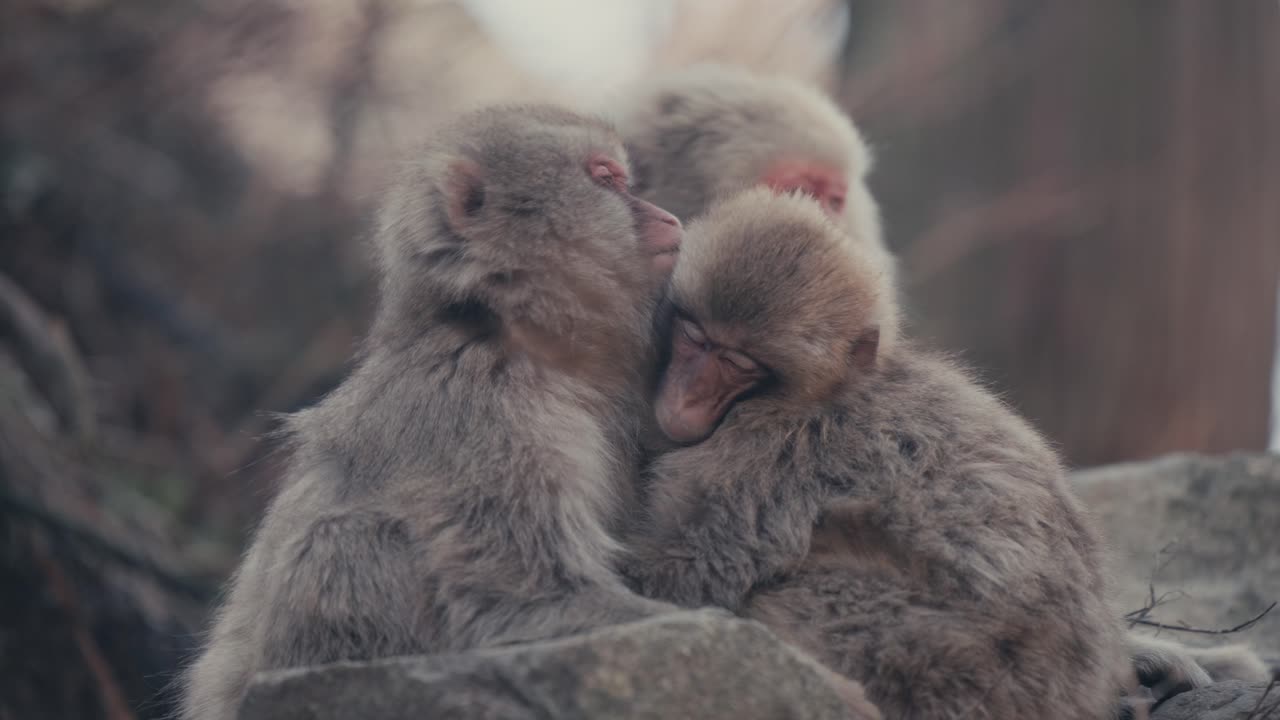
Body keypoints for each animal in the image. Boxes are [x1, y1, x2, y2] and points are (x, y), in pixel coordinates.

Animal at [179, 104, 686, 720]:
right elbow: (524, 598)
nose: (668, 215)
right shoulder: (479, 412)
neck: (508, 334)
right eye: (606, 179)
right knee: (347, 541)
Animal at [621, 187, 1139, 719]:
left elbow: (698, 569)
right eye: (694, 335)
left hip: (928, 655)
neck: (818, 395)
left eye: (739, 363)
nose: (685, 398)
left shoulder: (759, 455)